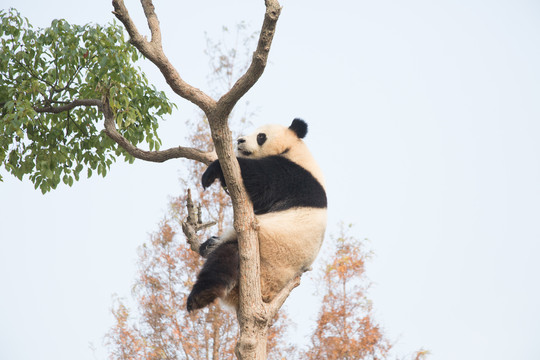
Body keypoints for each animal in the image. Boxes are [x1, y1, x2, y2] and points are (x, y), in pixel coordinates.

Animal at [188, 119, 326, 312]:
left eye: (261, 136)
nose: (240, 140)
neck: (293, 149)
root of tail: (268, 294)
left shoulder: (293, 176)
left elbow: (261, 181)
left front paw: (212, 171)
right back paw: (208, 245)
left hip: (266, 260)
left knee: (224, 260)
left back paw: (201, 295)